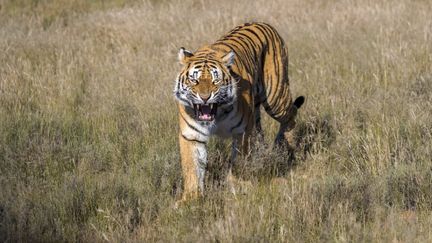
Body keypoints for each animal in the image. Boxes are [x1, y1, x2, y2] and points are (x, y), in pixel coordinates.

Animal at [172, 22, 304, 202]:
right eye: (194, 80)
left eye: (216, 80)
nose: (205, 98)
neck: (217, 115)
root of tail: (263, 23)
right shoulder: (191, 135)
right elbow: (192, 168)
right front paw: (191, 198)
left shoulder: (242, 131)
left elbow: (238, 161)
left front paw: (237, 185)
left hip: (275, 96)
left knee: (291, 115)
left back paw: (283, 146)